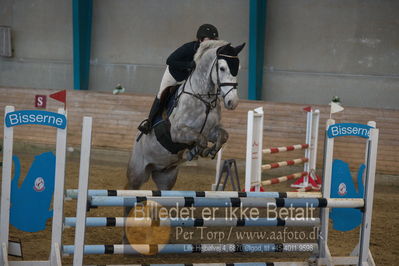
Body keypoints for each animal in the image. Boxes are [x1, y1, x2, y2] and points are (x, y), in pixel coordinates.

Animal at [127, 39, 247, 190]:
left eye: (238, 67)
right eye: (222, 68)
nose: (233, 102)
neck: (204, 99)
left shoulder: (210, 131)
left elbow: (223, 135)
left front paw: (211, 151)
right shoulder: (177, 133)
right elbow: (200, 140)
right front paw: (196, 151)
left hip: (166, 177)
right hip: (137, 174)